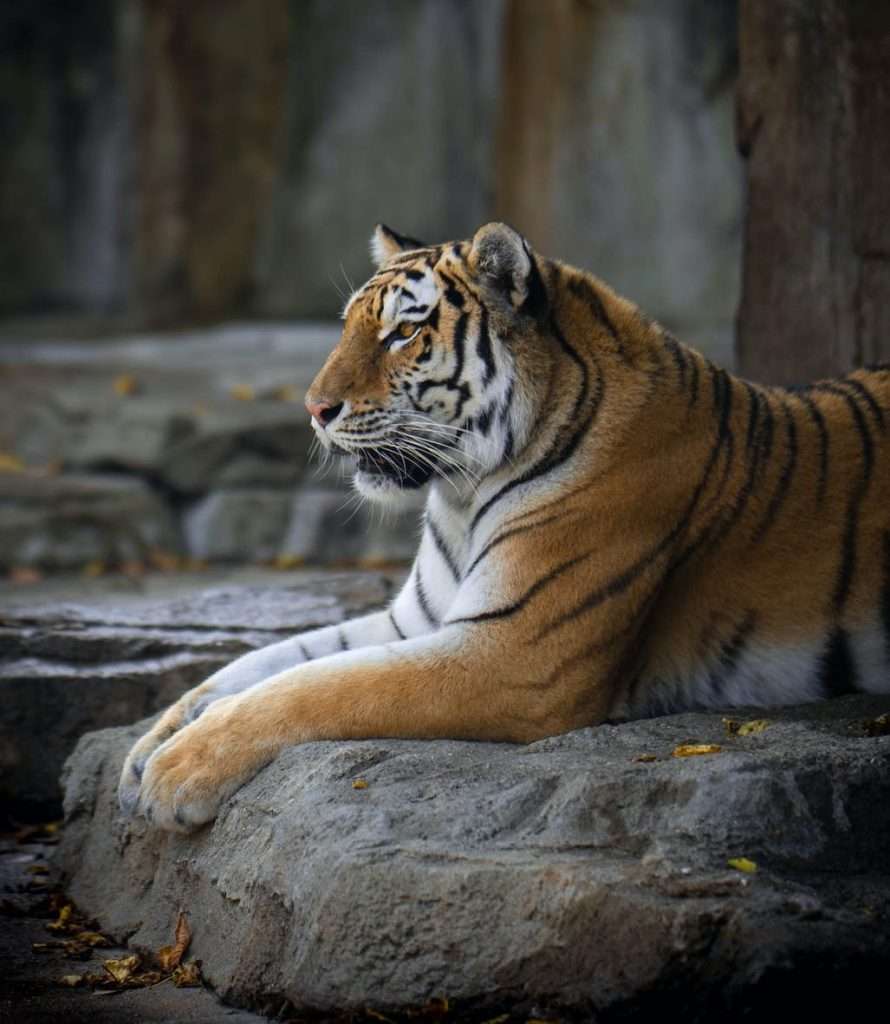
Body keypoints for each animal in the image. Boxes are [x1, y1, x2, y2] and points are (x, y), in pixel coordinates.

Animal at [118, 220, 888, 827]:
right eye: (347, 327)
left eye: (404, 332)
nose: (314, 409)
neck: (462, 493)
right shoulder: (416, 621)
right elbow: (265, 662)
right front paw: (149, 746)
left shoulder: (513, 652)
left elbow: (317, 685)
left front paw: (177, 771)